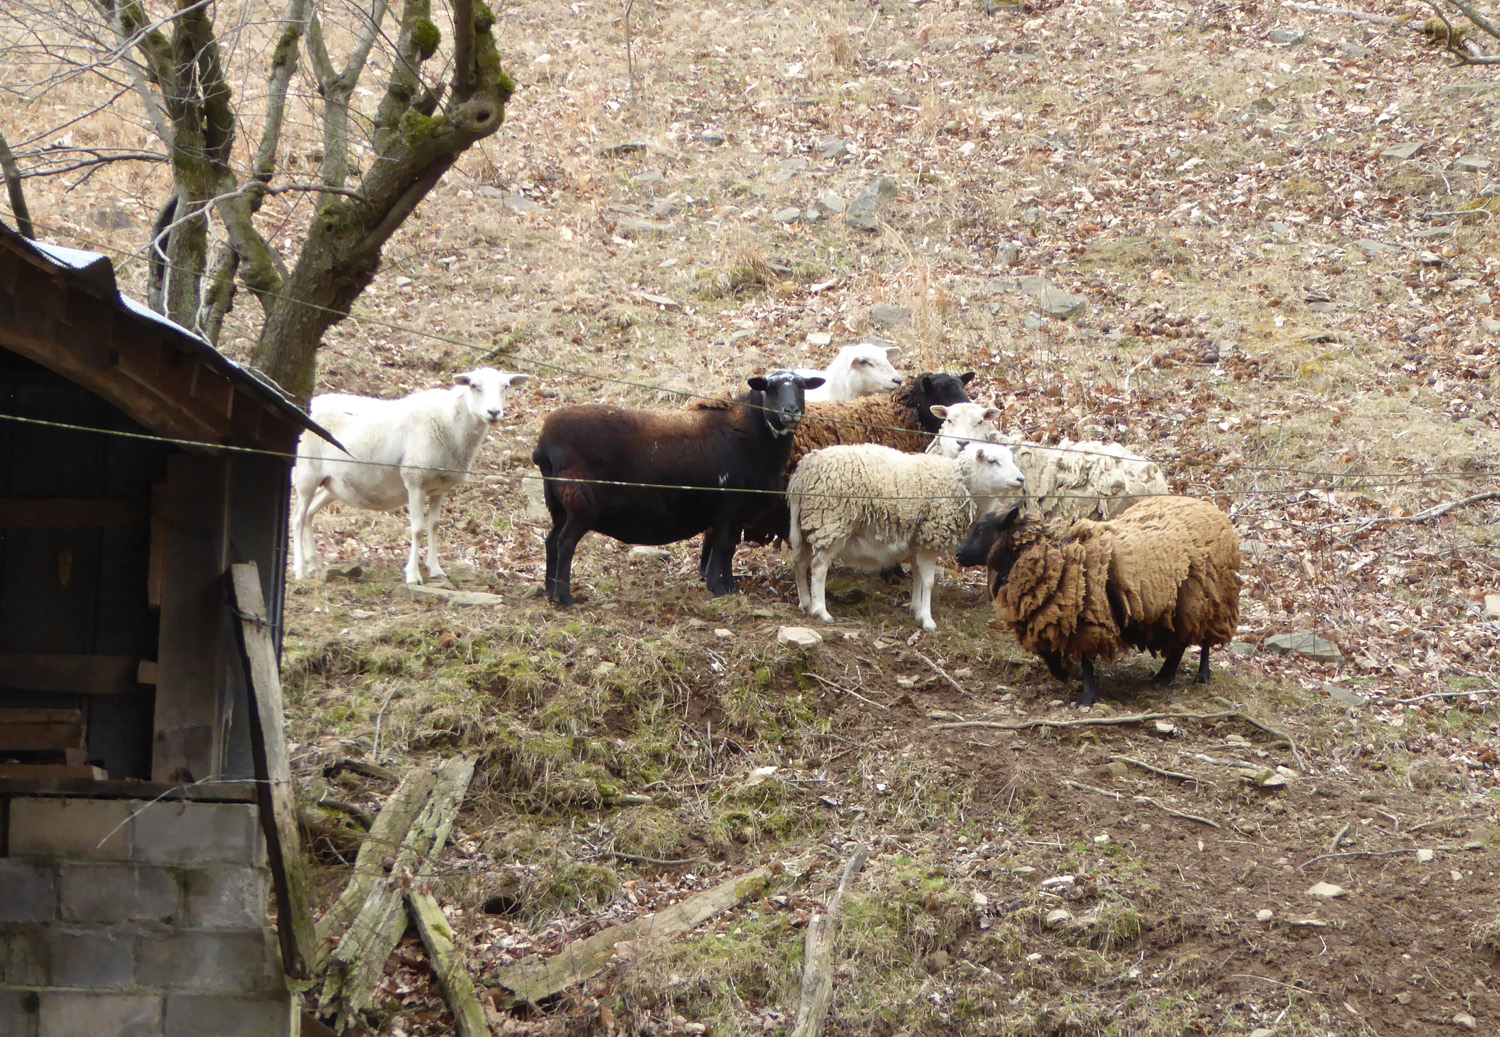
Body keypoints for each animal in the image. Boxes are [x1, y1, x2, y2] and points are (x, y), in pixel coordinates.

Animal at [291, 368, 531, 585]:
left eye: (505, 386)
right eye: (473, 385)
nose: (494, 412)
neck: (450, 424)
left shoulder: (439, 487)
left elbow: (434, 526)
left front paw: (436, 570)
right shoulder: (415, 480)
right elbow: (417, 529)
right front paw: (413, 575)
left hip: (332, 483)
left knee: (310, 514)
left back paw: (314, 564)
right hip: (306, 473)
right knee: (298, 518)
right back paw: (300, 570)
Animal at [532, 369, 823, 605]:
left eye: (801, 386)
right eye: (769, 388)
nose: (791, 411)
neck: (751, 433)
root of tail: (544, 445)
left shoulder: (735, 512)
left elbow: (728, 547)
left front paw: (728, 586)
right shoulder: (727, 507)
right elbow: (722, 545)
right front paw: (718, 588)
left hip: (559, 504)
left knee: (551, 541)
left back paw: (549, 593)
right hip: (580, 503)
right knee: (565, 543)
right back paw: (565, 598)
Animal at [787, 442, 1025, 632]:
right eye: (993, 461)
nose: (1021, 479)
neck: (958, 484)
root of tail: (803, 471)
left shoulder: (917, 540)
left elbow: (918, 577)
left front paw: (916, 609)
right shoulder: (930, 536)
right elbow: (928, 582)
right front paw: (927, 619)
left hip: (810, 524)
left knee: (799, 563)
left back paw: (805, 602)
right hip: (831, 522)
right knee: (818, 568)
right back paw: (821, 611)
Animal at [957, 496, 1241, 707]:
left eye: (980, 529)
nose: (958, 554)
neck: (1049, 554)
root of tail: (1212, 509)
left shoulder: (1088, 618)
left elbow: (1086, 662)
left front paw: (1085, 698)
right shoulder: (1050, 619)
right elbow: (1049, 654)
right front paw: (1063, 674)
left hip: (1211, 597)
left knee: (1204, 641)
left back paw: (1201, 675)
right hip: (1178, 605)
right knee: (1180, 641)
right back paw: (1164, 676)